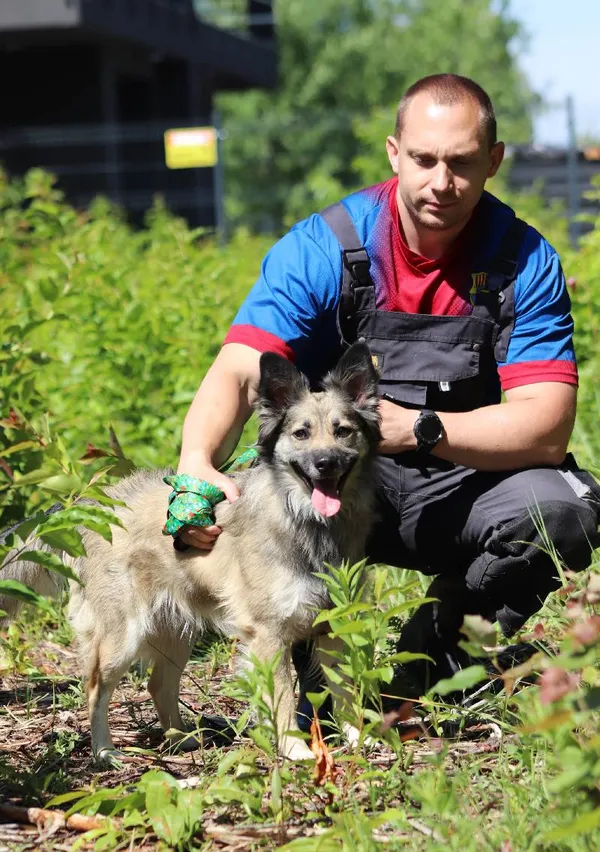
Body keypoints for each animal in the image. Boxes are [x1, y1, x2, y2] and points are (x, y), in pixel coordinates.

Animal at [0, 342, 380, 764]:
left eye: (343, 431)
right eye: (301, 433)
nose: (324, 463)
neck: (307, 521)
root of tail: (92, 504)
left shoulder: (334, 626)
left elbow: (345, 690)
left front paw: (358, 738)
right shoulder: (268, 634)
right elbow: (281, 698)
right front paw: (294, 748)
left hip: (175, 631)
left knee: (158, 685)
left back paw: (180, 741)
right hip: (121, 638)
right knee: (96, 690)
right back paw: (105, 752)